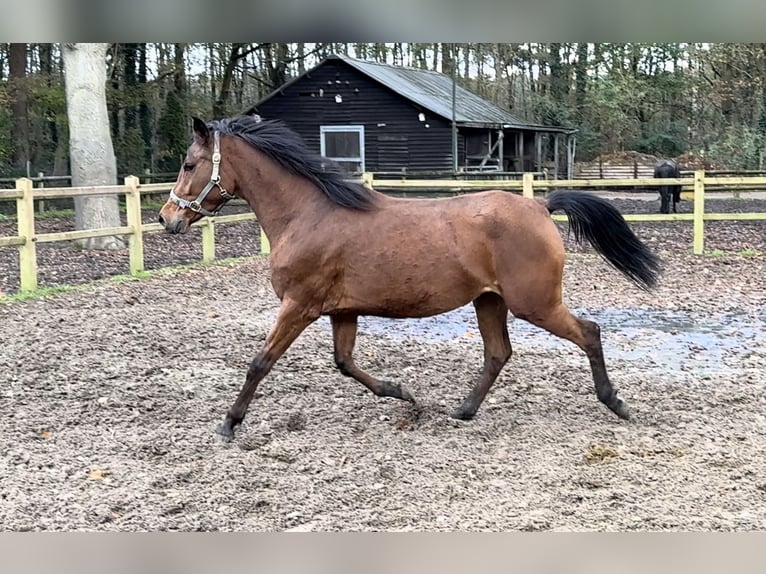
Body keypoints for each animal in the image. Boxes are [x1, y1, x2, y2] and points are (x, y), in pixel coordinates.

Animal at [159, 116, 664, 440]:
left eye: (188, 165)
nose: (167, 219)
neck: (308, 214)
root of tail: (540, 205)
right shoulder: (341, 311)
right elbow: (344, 363)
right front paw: (402, 393)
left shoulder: (299, 306)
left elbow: (260, 363)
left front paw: (229, 423)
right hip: (490, 301)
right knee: (498, 353)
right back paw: (463, 410)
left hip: (533, 303)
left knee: (589, 332)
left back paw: (615, 403)